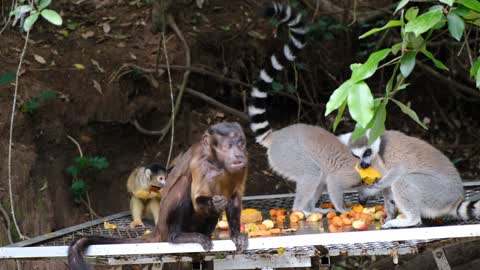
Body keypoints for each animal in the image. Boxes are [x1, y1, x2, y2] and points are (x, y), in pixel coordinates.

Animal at [69, 122, 249, 270]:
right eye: (229, 145)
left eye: (240, 144)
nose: (238, 154)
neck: (217, 163)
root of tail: (159, 228)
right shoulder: (201, 163)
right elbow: (197, 199)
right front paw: (215, 202)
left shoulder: (242, 165)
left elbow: (234, 197)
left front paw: (236, 235)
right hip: (165, 221)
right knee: (184, 183)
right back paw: (177, 236)